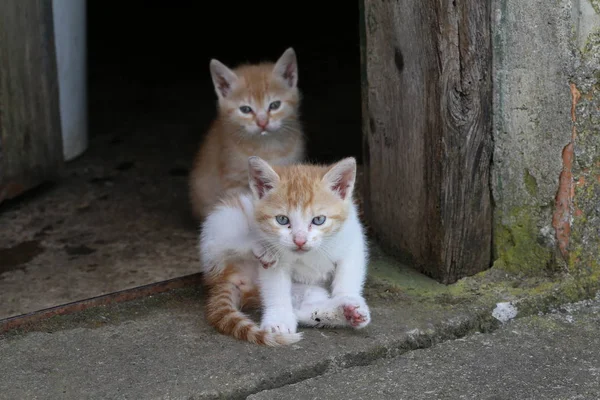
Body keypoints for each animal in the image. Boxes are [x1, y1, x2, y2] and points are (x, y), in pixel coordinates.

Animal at [199, 155, 370, 346]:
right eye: (282, 219)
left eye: (319, 220)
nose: (300, 240)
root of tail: (223, 278)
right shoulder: (274, 266)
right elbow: (276, 287)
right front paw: (278, 320)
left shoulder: (352, 237)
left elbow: (349, 272)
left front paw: (348, 299)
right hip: (225, 218)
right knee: (218, 244)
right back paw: (262, 246)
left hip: (302, 290)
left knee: (304, 307)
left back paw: (341, 313)